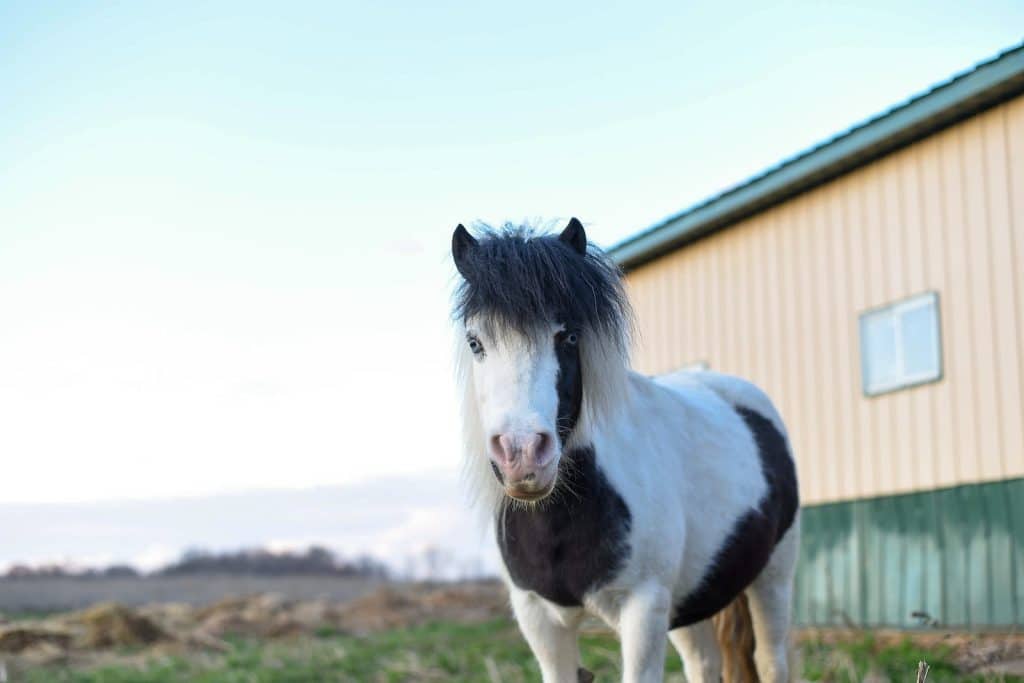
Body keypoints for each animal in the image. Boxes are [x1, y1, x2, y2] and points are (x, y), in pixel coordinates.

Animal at [450, 222, 798, 679]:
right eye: (475, 342)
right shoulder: (539, 619)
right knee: (704, 663)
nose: (522, 454)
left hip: (773, 575)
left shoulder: (643, 610)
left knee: (772, 661)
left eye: (569, 336)